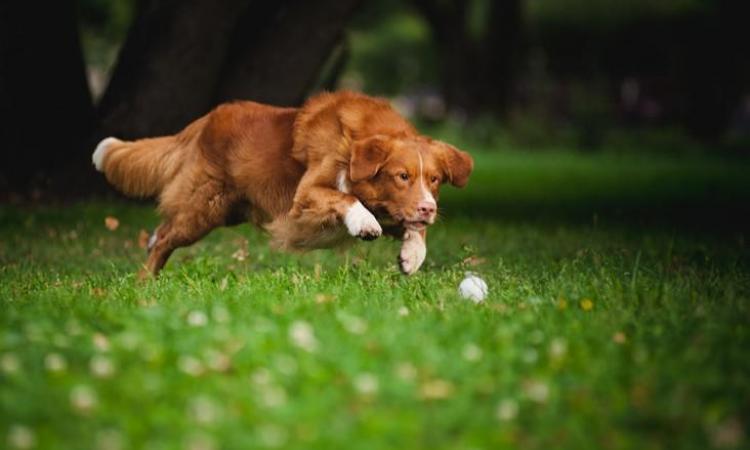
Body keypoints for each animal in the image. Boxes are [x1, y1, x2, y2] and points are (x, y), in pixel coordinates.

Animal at [92, 90, 470, 274]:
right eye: (402, 176)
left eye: (434, 179)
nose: (429, 207)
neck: (356, 144)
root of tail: (206, 120)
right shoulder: (304, 196)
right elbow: (346, 199)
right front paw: (363, 221)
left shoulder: (393, 209)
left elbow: (414, 228)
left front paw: (412, 255)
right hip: (204, 209)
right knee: (165, 239)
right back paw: (145, 283)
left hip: (227, 212)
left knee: (163, 230)